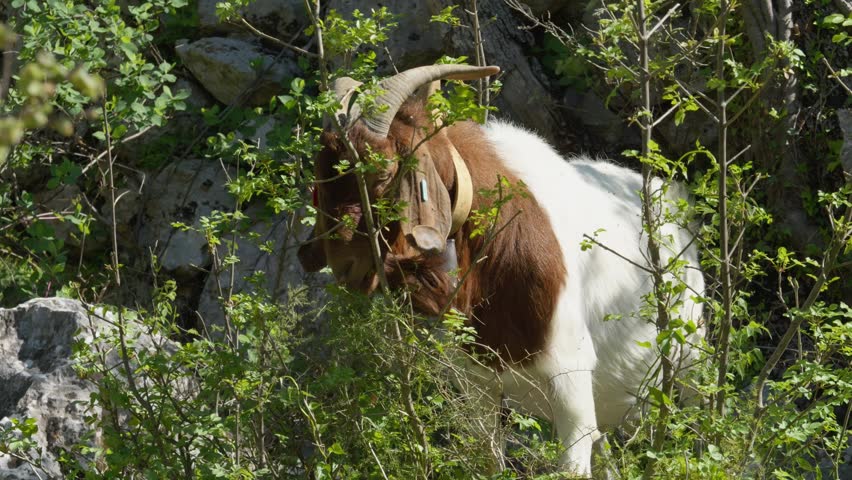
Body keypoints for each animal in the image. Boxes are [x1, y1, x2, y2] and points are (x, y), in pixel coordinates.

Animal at [298, 64, 705, 475]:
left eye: (383, 174)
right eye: (320, 177)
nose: (343, 265)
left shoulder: (571, 376)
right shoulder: (478, 384)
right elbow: (489, 457)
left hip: (689, 361)